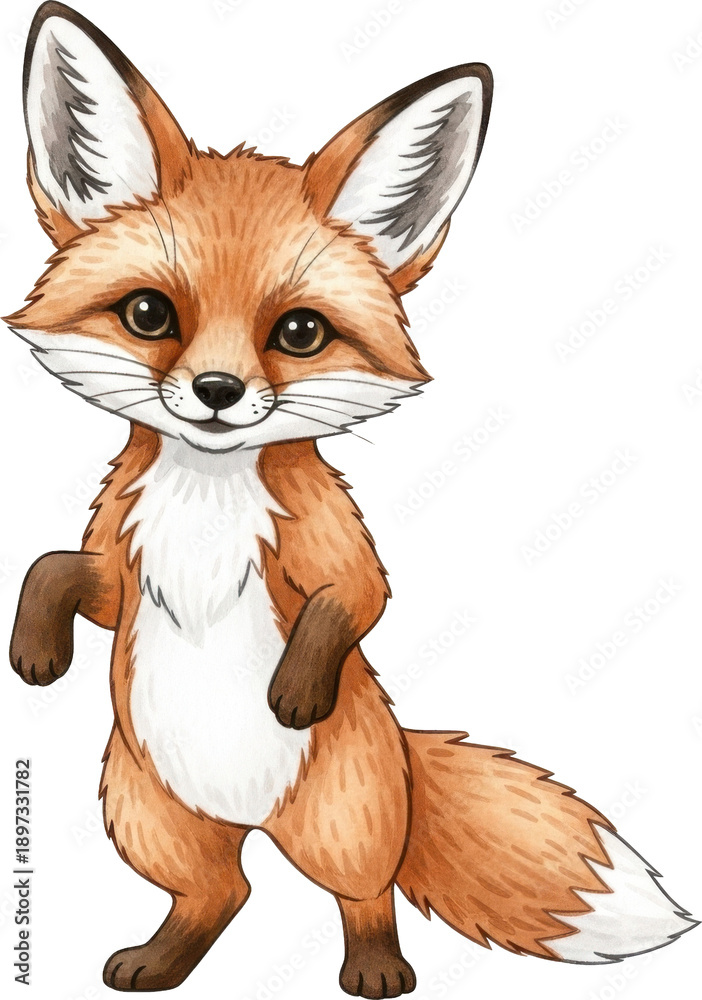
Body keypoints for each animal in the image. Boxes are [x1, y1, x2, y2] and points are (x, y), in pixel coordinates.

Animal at [6, 3, 697, 997]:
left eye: (299, 332)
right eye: (148, 315)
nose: (216, 392)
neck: (208, 501)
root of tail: (252, 817)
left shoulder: (340, 553)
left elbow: (354, 603)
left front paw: (295, 689)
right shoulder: (123, 564)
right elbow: (54, 569)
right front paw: (35, 652)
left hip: (346, 822)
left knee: (364, 896)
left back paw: (375, 969)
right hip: (149, 819)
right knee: (222, 894)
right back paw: (159, 960)